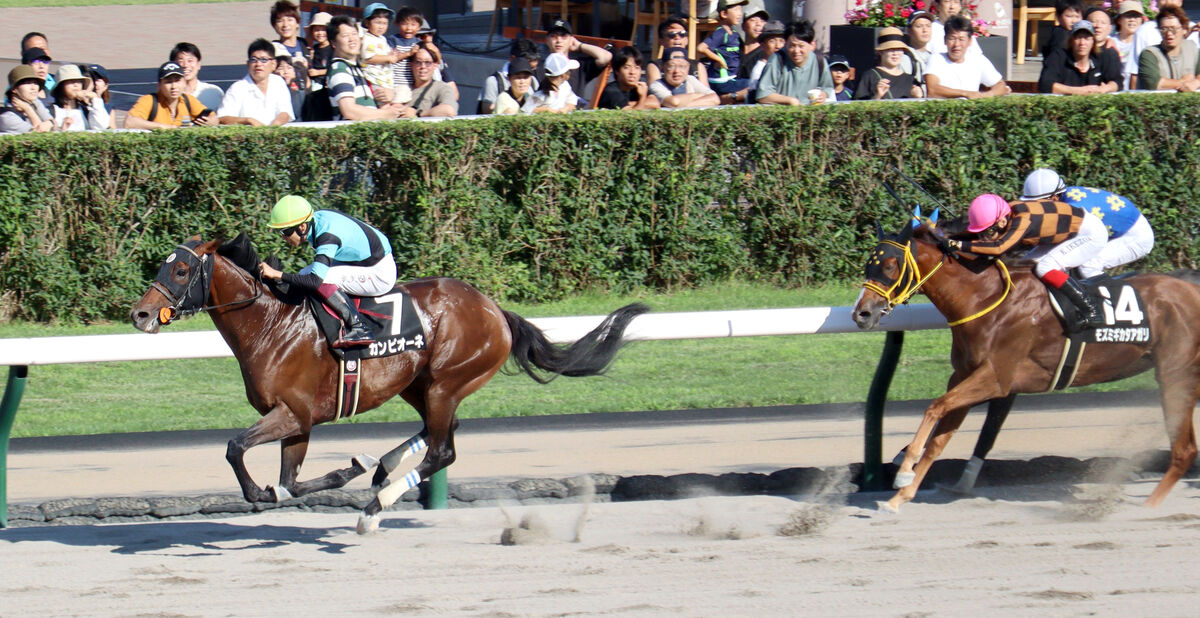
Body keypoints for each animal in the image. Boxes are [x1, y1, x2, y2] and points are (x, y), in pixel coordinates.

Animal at [131, 237, 648, 532]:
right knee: (442, 435)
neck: (272, 324)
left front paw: (264, 492)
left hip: (446, 381)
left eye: (180, 270)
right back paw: (382, 465)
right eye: (162, 266)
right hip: (420, 384)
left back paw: (375, 506)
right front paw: (339, 472)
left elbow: (235, 449)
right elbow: (290, 482)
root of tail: (495, 310)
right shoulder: (299, 422)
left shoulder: (292, 414)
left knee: (443, 449)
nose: (139, 314)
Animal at [854, 218, 1200, 513]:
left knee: (1184, 449)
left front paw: (904, 470)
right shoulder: (964, 375)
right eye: (869, 263)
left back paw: (1146, 508)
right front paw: (901, 494)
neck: (984, 298)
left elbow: (934, 407)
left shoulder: (996, 377)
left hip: (1174, 374)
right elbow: (940, 437)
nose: (861, 314)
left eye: (890, 265)